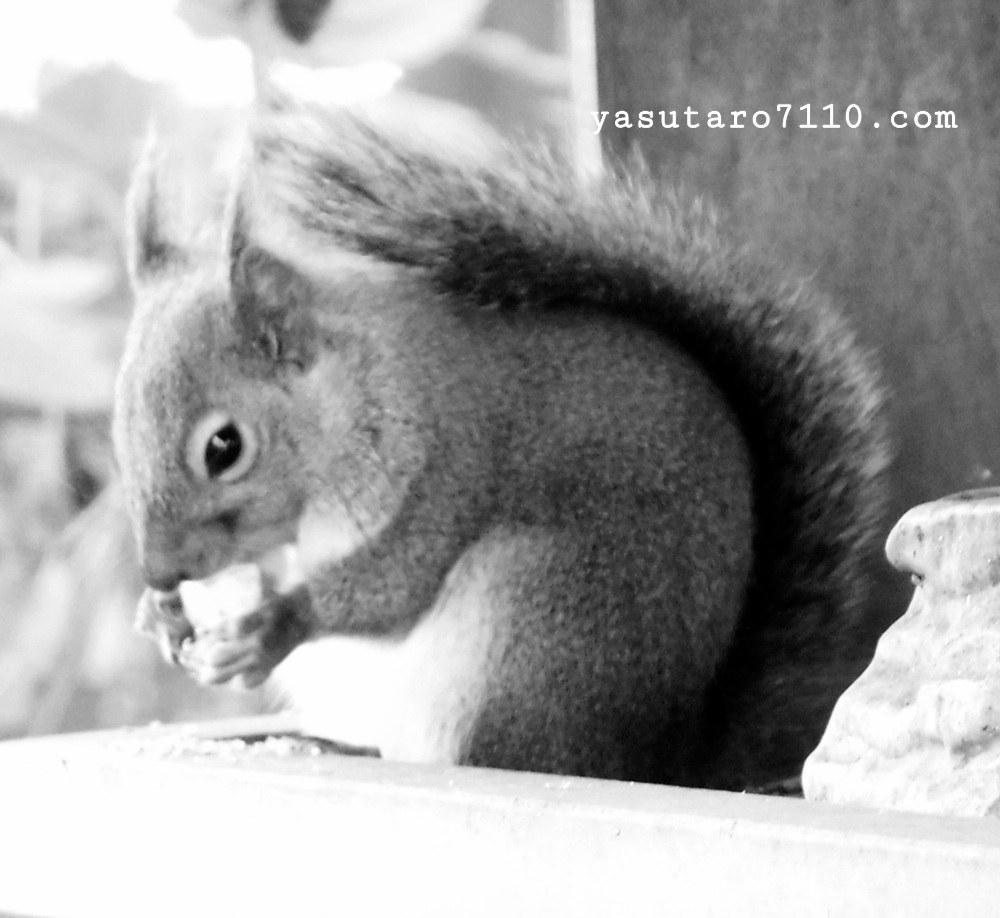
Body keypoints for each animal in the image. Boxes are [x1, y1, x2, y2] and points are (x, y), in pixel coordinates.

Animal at [112, 96, 889, 791]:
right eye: (118, 438)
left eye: (224, 448)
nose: (158, 571)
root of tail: (658, 763)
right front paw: (160, 616)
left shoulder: (443, 465)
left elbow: (395, 585)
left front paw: (274, 623)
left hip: (532, 614)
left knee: (492, 755)